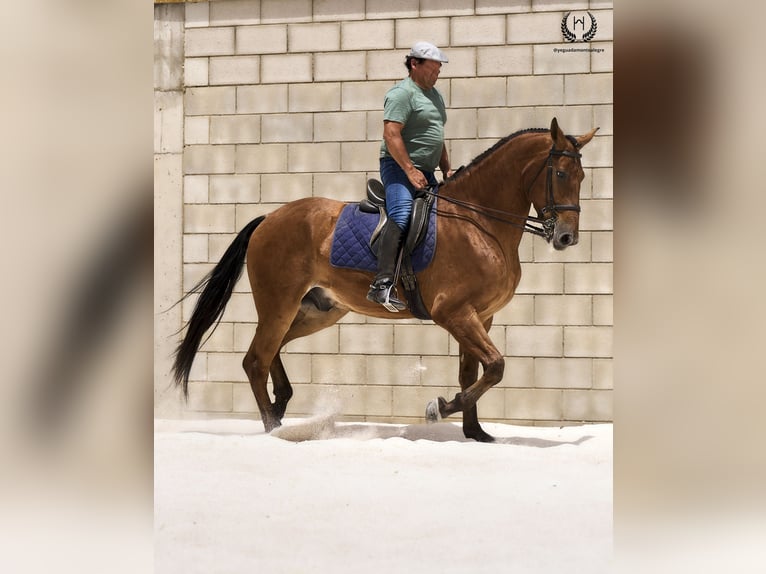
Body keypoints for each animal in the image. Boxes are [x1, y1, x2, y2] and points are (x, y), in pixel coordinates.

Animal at [174, 118, 600, 446]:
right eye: (560, 173)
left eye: (581, 176)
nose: (567, 237)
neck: (480, 220)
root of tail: (269, 218)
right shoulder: (454, 313)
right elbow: (494, 366)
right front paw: (439, 408)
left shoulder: (481, 316)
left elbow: (473, 372)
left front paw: (475, 432)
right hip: (279, 304)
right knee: (256, 360)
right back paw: (273, 428)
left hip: (317, 311)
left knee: (270, 350)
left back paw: (281, 406)